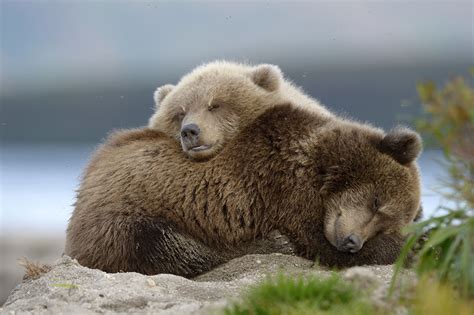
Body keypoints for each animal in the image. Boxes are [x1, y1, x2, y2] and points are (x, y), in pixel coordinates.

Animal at [64, 103, 422, 276]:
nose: (351, 242)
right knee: (163, 245)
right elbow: (317, 243)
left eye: (384, 222)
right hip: (119, 216)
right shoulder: (285, 189)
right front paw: (415, 246)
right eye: (377, 202)